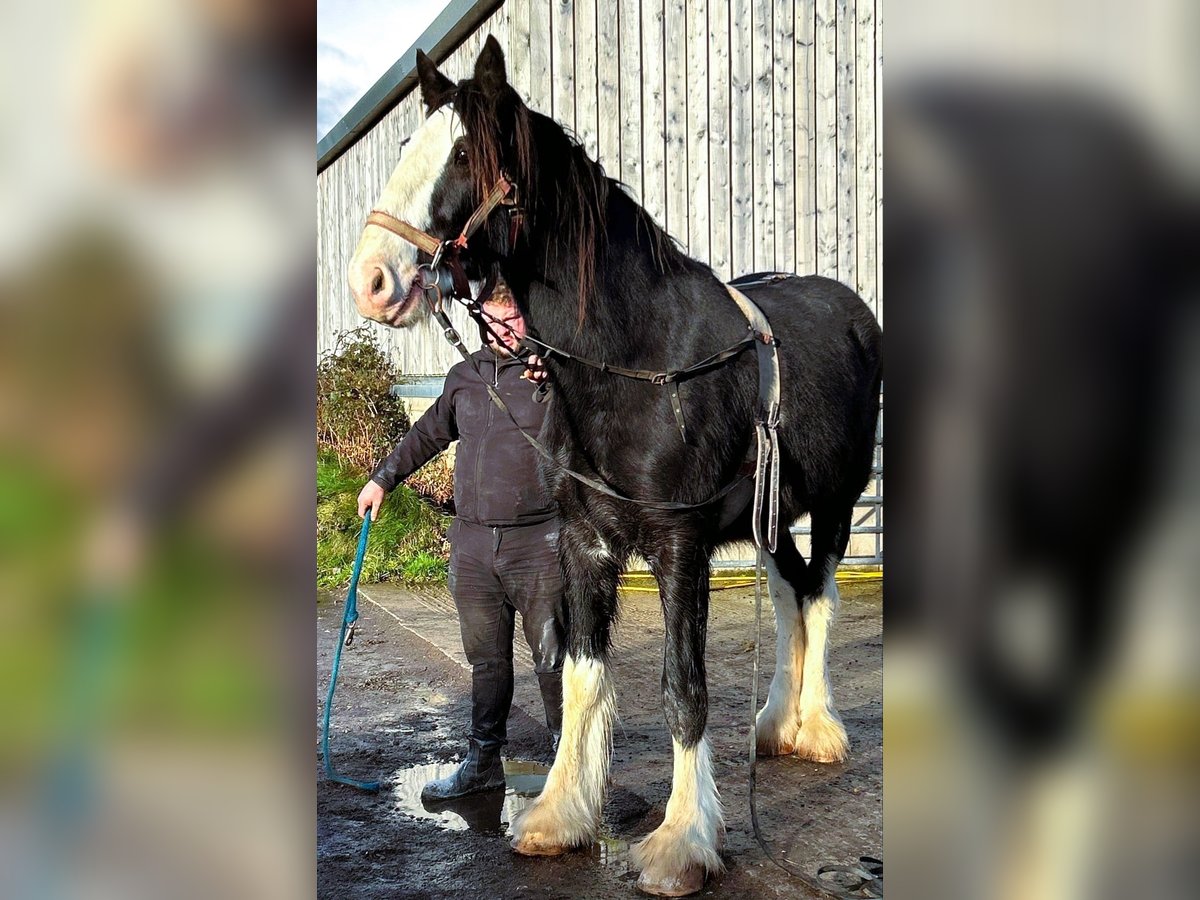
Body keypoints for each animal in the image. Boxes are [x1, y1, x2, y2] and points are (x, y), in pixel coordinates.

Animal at [348, 37, 883, 900]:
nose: (370, 280)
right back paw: (777, 726)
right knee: (788, 596)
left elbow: (683, 688)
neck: (638, 358)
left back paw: (820, 728)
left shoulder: (679, 548)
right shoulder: (583, 542)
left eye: (463, 154)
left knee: (823, 597)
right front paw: (559, 815)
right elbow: (578, 674)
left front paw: (682, 840)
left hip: (837, 503)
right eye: (406, 146)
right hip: (771, 518)